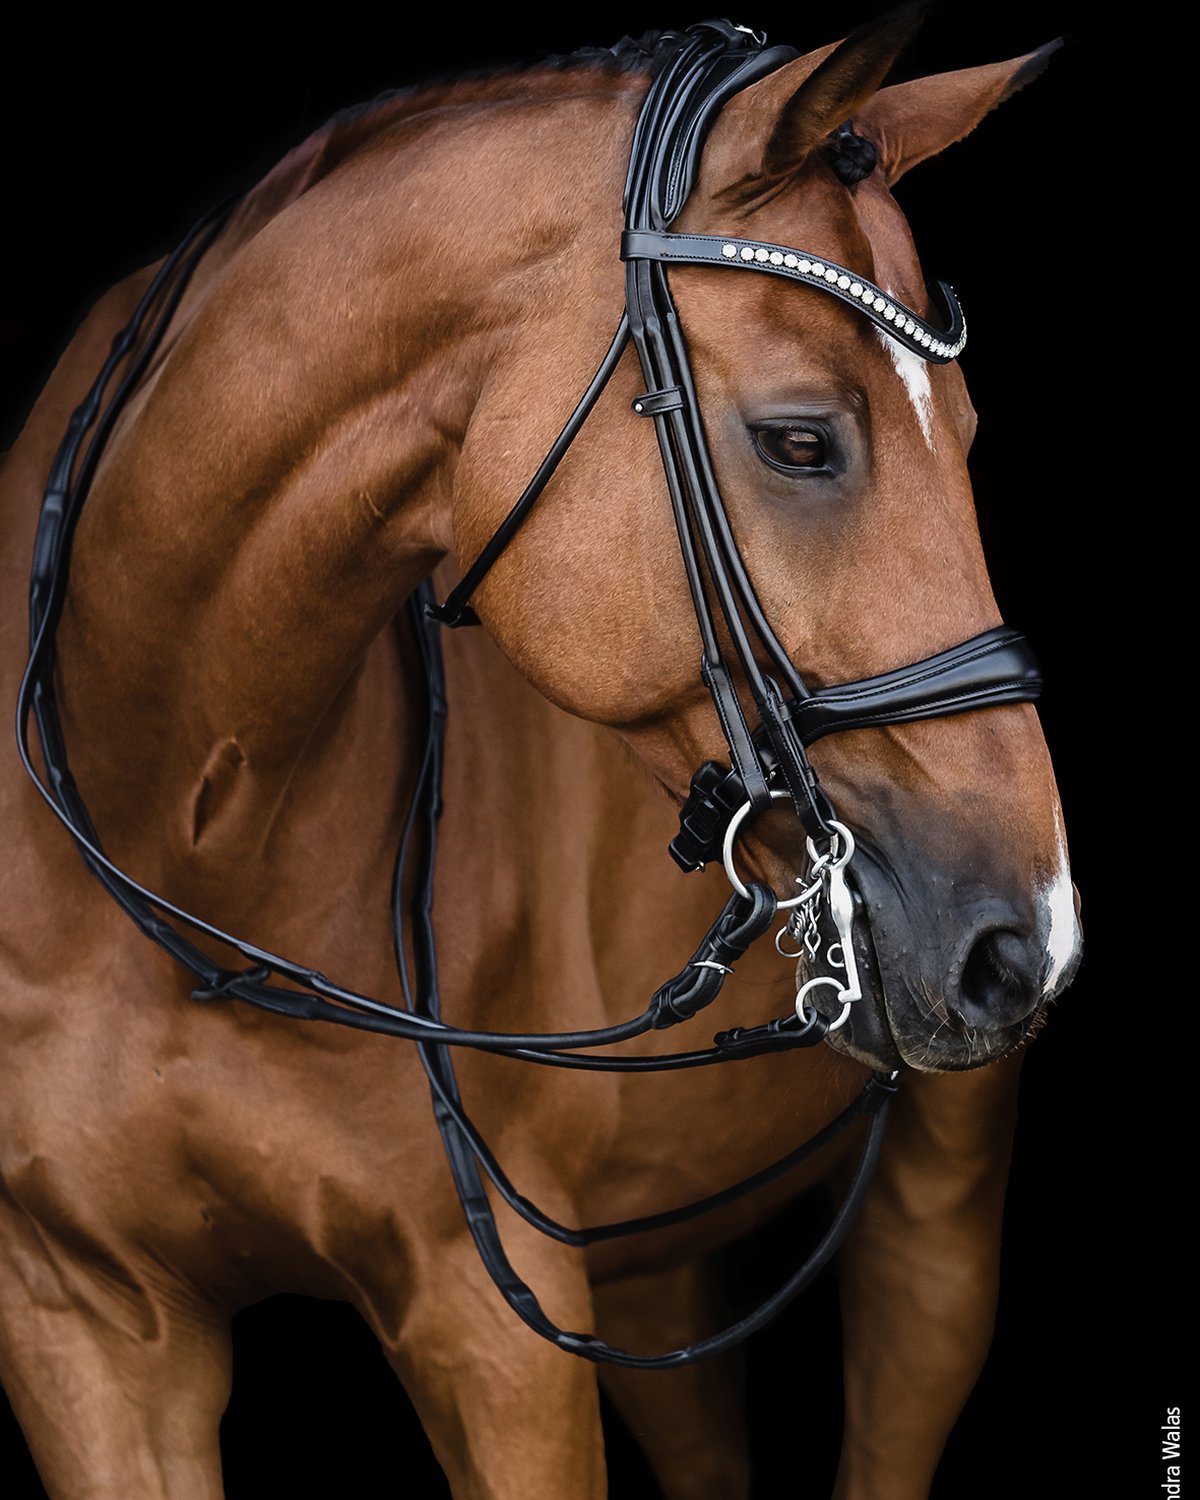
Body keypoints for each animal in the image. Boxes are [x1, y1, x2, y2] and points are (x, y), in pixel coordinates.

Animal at [0, 11, 1082, 1498]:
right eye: (800, 439)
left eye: (971, 439)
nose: (1028, 939)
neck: (182, 808)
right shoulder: (82, 1324)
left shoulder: (494, 1326)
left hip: (937, 1216)